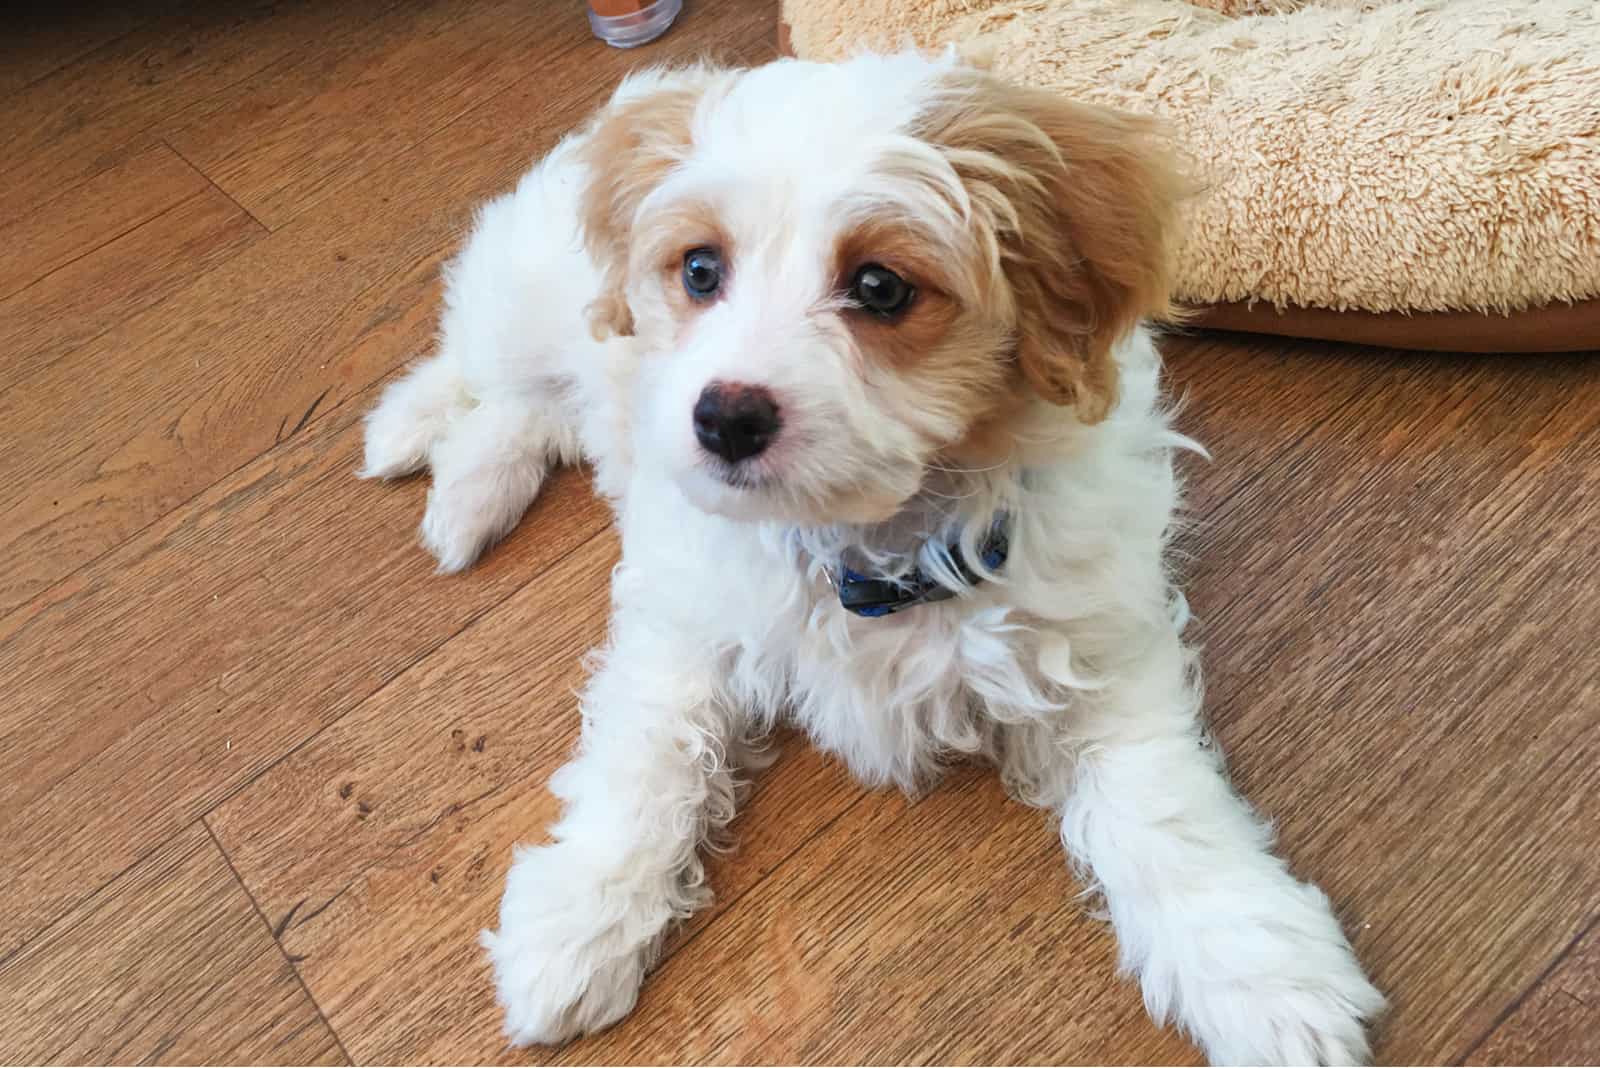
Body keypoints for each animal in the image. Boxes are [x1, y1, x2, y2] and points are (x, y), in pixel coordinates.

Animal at [356, 47, 1382, 1061]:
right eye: (701, 270)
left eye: (881, 287)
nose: (724, 417)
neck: (872, 547)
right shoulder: (683, 622)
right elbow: (645, 757)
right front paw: (576, 922)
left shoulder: (1096, 647)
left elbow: (1164, 806)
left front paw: (1261, 974)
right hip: (532, 309)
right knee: (481, 375)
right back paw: (432, 459)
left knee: (528, 411)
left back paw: (463, 490)